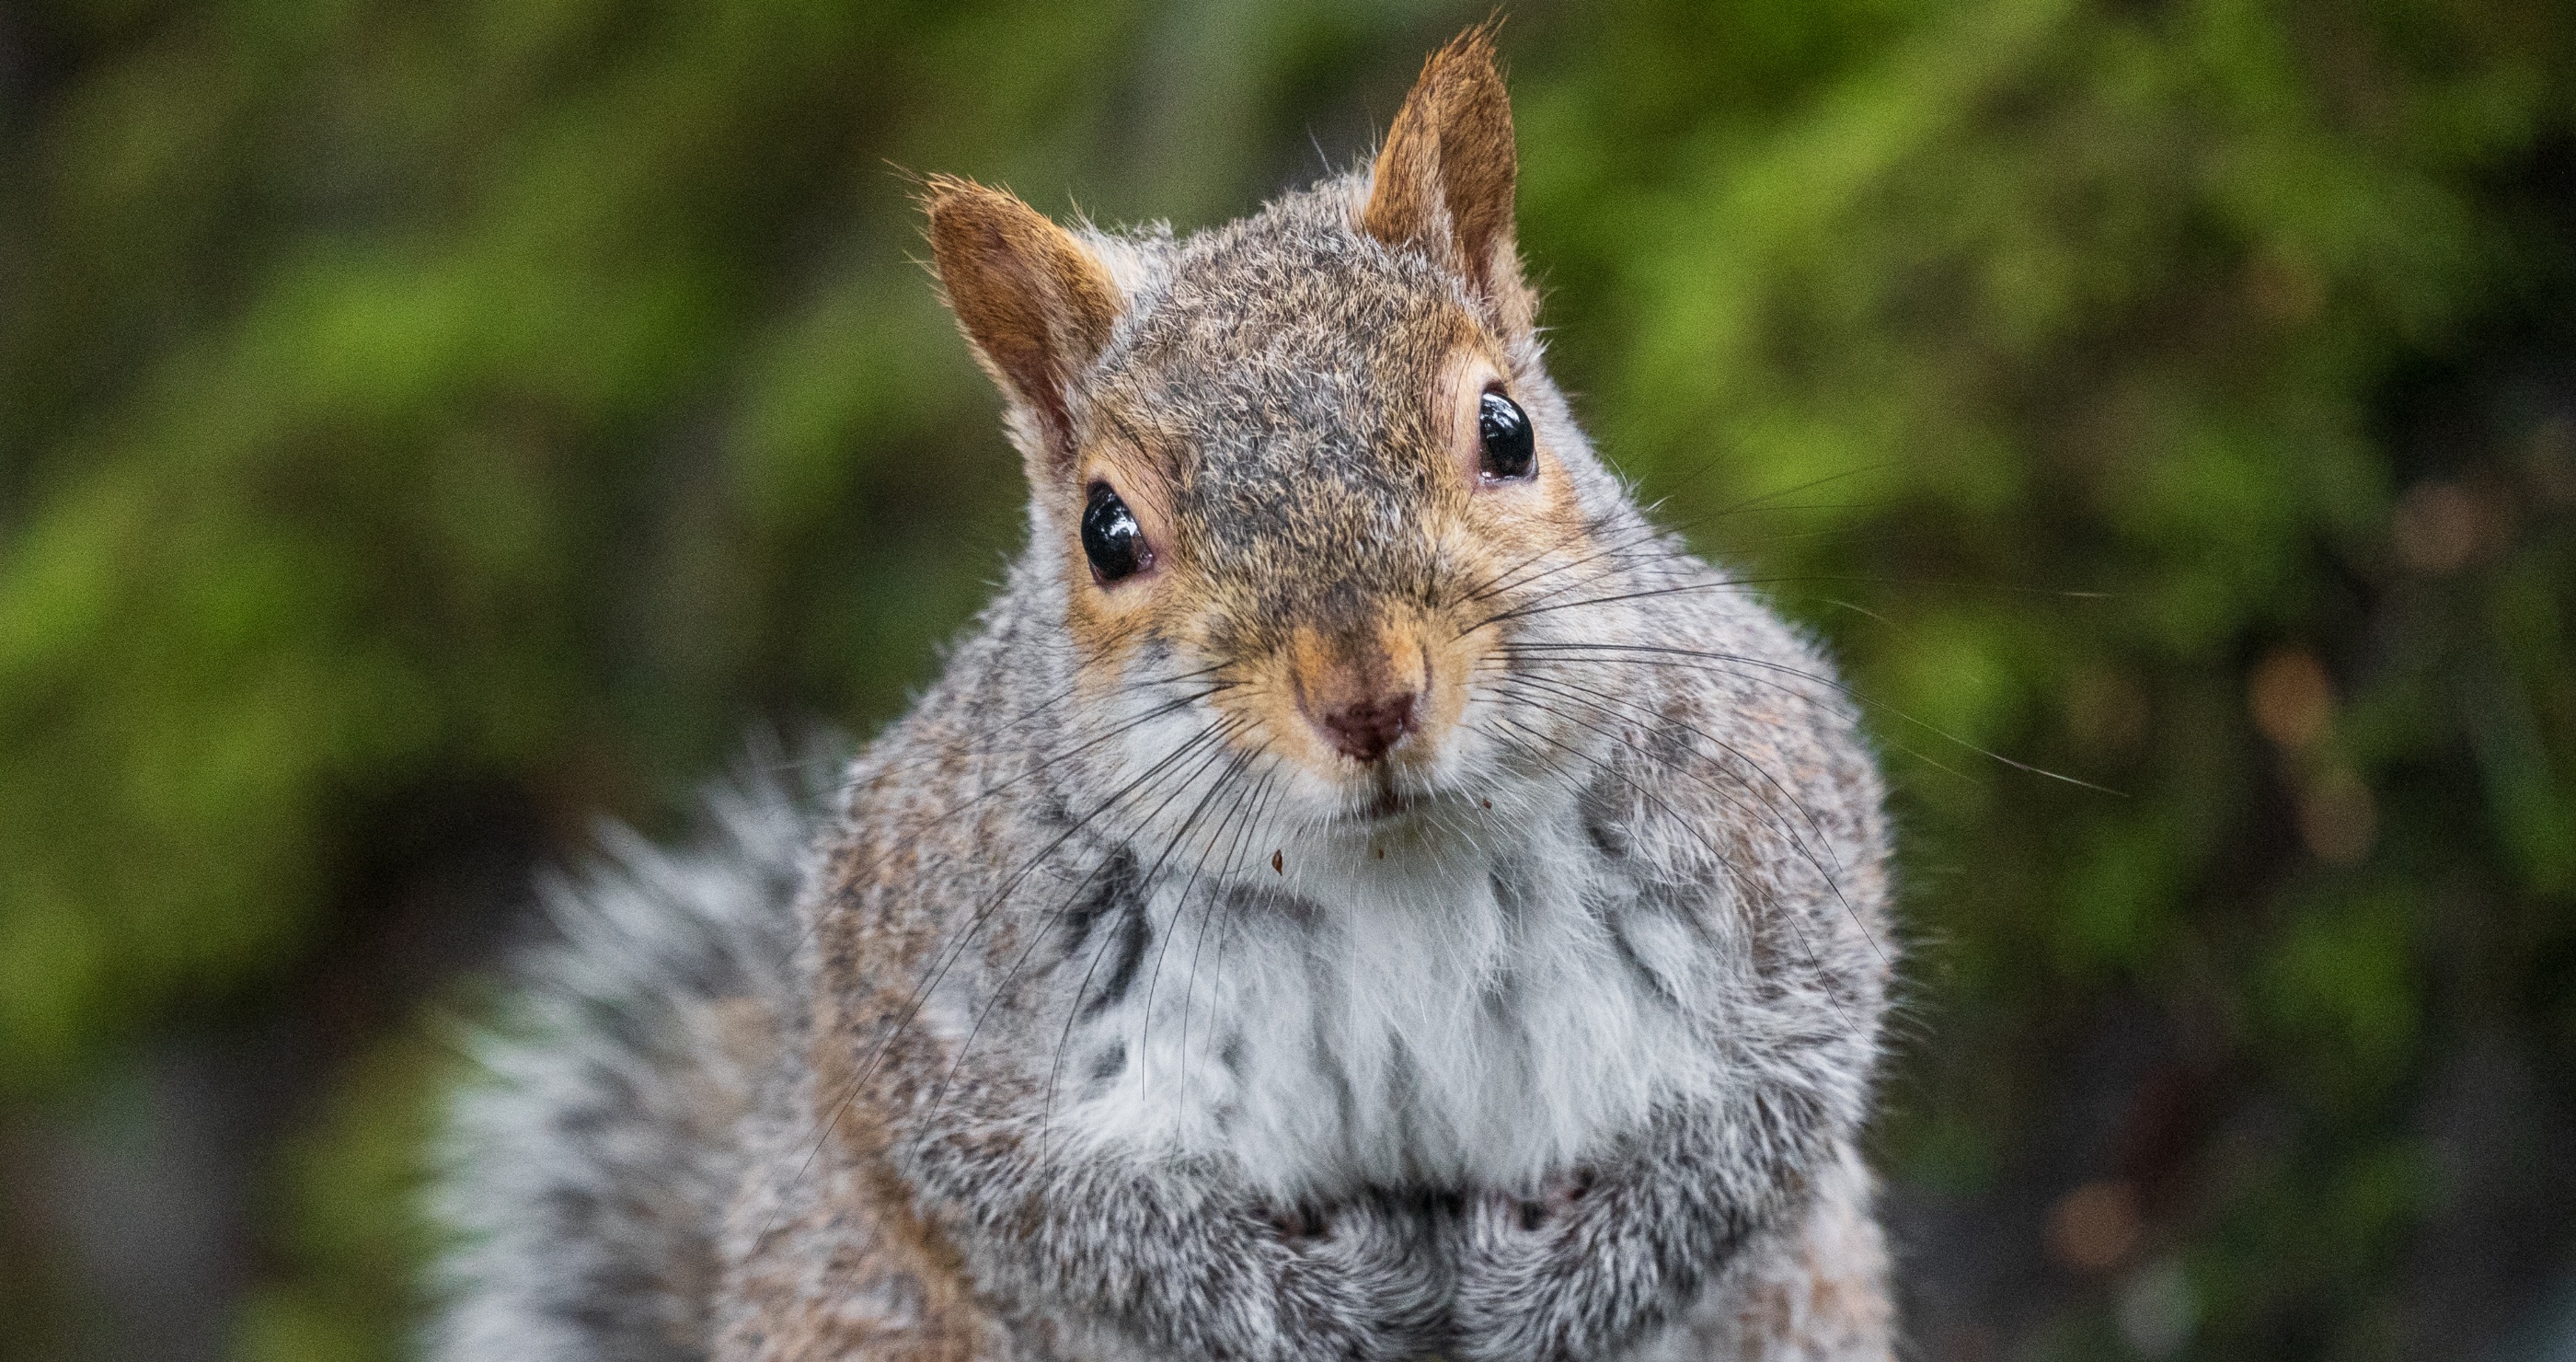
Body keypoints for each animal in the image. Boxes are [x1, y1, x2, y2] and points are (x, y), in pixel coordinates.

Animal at [429, 28, 1896, 1362]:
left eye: (1506, 429)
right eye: (1106, 530)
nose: (1367, 698)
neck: (1392, 865)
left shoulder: (1777, 841)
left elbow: (1754, 1127)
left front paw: (1568, 1289)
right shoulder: (927, 1001)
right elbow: (1064, 1220)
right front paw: (1316, 1308)